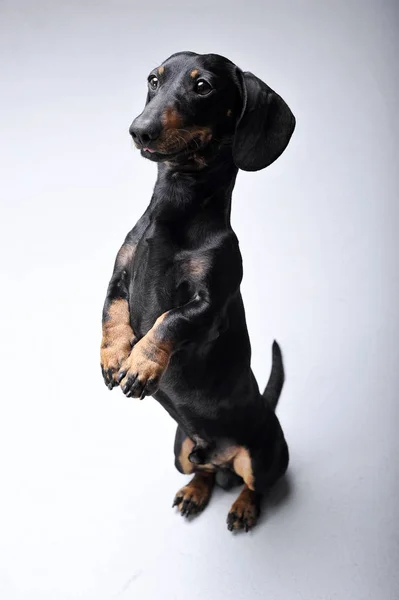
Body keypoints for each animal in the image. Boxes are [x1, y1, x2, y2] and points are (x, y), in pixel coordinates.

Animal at [101, 51, 296, 528]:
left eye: (203, 86)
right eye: (154, 80)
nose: (139, 130)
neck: (176, 206)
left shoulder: (209, 306)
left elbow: (170, 321)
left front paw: (142, 364)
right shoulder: (119, 275)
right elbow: (111, 312)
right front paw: (115, 357)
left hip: (263, 454)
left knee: (255, 484)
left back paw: (243, 507)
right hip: (181, 449)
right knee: (203, 470)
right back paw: (195, 491)